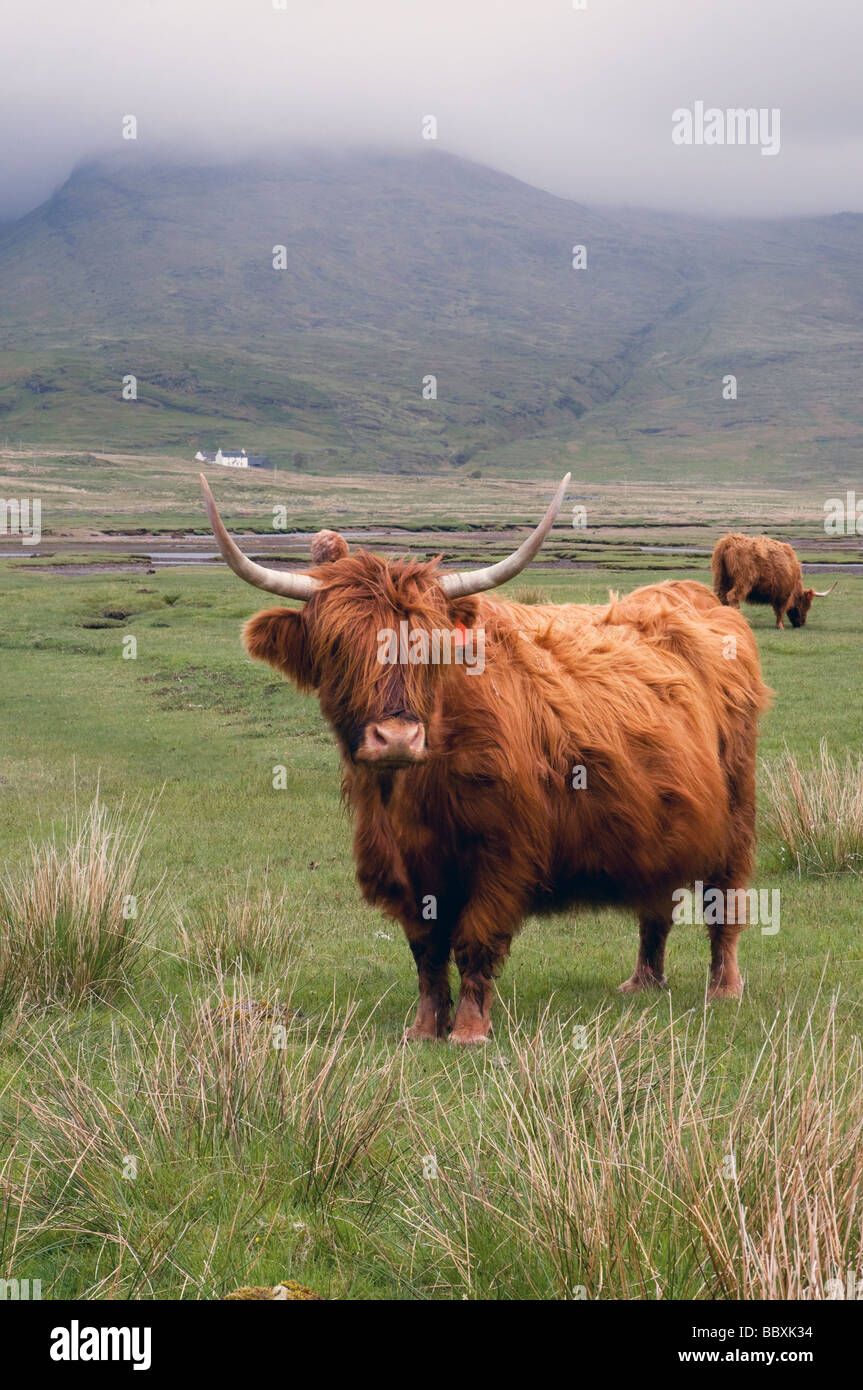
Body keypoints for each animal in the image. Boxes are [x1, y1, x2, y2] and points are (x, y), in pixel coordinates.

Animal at [202, 475, 771, 1044]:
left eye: (430, 649)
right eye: (337, 647)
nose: (397, 738)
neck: (412, 794)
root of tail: (696, 598)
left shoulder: (503, 854)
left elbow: (476, 939)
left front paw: (470, 1031)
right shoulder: (404, 867)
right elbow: (426, 952)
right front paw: (424, 1028)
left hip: (736, 810)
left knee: (725, 901)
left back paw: (724, 988)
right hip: (663, 821)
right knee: (656, 901)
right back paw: (643, 981)